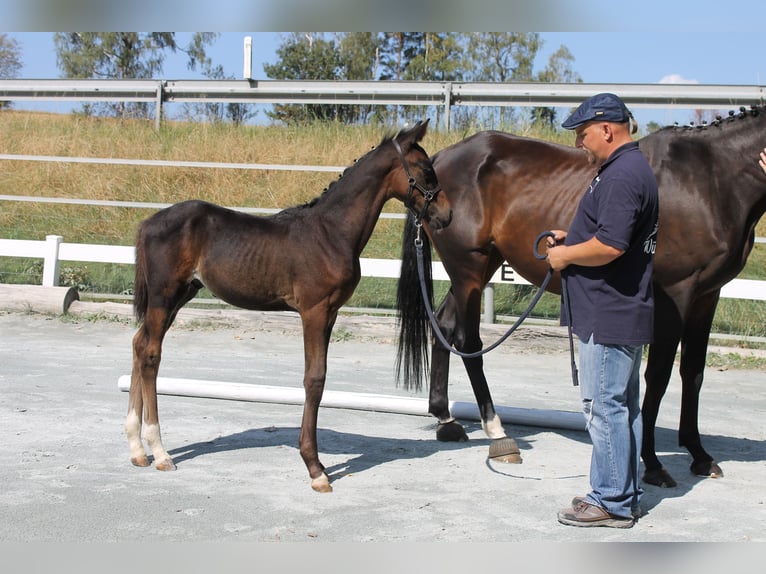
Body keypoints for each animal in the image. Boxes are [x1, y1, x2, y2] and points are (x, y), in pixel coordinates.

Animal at [124, 119, 450, 492]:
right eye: (426, 170)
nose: (447, 215)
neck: (330, 232)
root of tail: (147, 223)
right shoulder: (314, 311)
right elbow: (314, 379)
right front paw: (315, 468)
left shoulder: (331, 314)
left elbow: (319, 377)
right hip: (164, 297)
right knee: (150, 353)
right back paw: (160, 452)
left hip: (180, 296)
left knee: (139, 345)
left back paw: (137, 450)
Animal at [396, 106, 766, 488]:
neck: (710, 180)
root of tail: (439, 162)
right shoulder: (675, 295)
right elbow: (659, 377)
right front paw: (652, 463)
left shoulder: (706, 297)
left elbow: (693, 374)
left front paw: (700, 456)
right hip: (468, 268)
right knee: (467, 341)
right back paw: (496, 433)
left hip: (480, 268)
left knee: (444, 326)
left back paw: (446, 420)